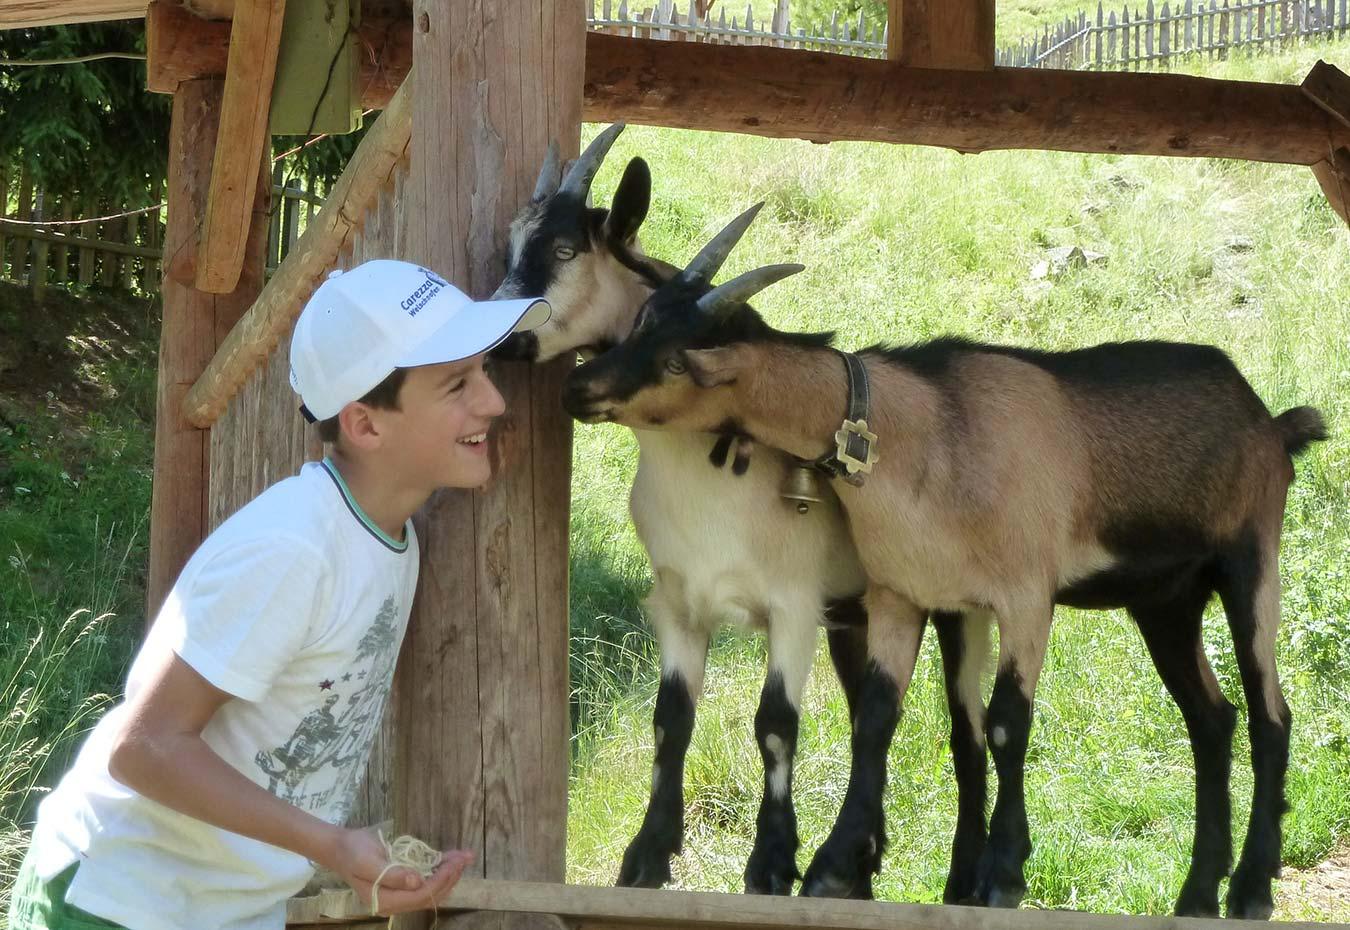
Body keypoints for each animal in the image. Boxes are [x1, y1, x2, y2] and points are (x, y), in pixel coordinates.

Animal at [561, 206, 1328, 917]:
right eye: (639, 323)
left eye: (674, 361)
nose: (581, 387)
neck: (921, 430)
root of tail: (1270, 422)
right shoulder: (904, 595)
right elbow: (878, 717)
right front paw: (835, 866)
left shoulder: (1026, 596)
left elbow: (1007, 723)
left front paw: (1003, 874)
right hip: (1166, 599)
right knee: (1212, 720)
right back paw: (1198, 893)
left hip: (1251, 559)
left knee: (1271, 715)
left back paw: (1252, 887)